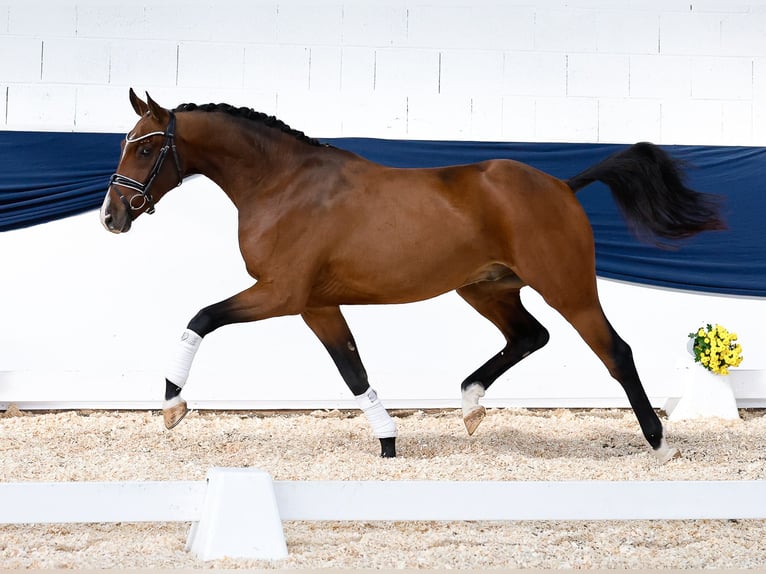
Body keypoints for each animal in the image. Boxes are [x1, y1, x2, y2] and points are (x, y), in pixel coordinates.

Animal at [100, 91, 728, 468]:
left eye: (148, 147)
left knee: (614, 350)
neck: (282, 185)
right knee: (529, 336)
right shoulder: (315, 305)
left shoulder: (282, 294)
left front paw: (173, 405)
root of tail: (561, 186)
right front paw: (388, 442)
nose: (113, 215)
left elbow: (200, 318)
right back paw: (470, 406)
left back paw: (658, 444)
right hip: (486, 288)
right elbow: (352, 370)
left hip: (566, 286)